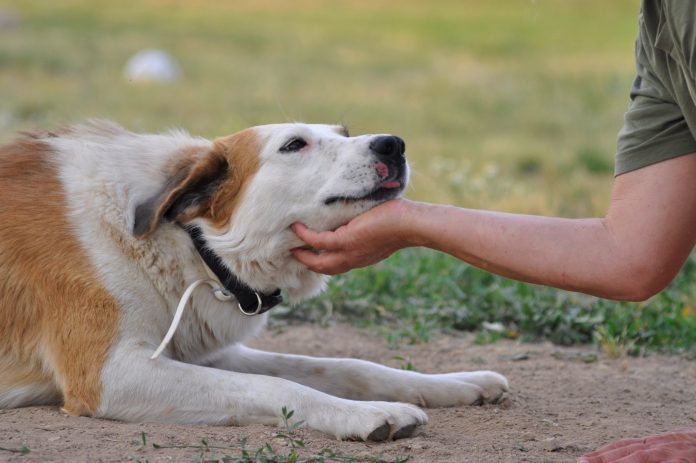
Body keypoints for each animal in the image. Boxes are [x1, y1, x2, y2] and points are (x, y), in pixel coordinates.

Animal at [1, 121, 512, 440]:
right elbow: (278, 387)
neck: (190, 244)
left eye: (345, 133)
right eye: (294, 144)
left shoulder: (209, 352)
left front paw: (458, 383)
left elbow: (350, 366)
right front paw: (367, 414)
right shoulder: (110, 374)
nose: (393, 144)